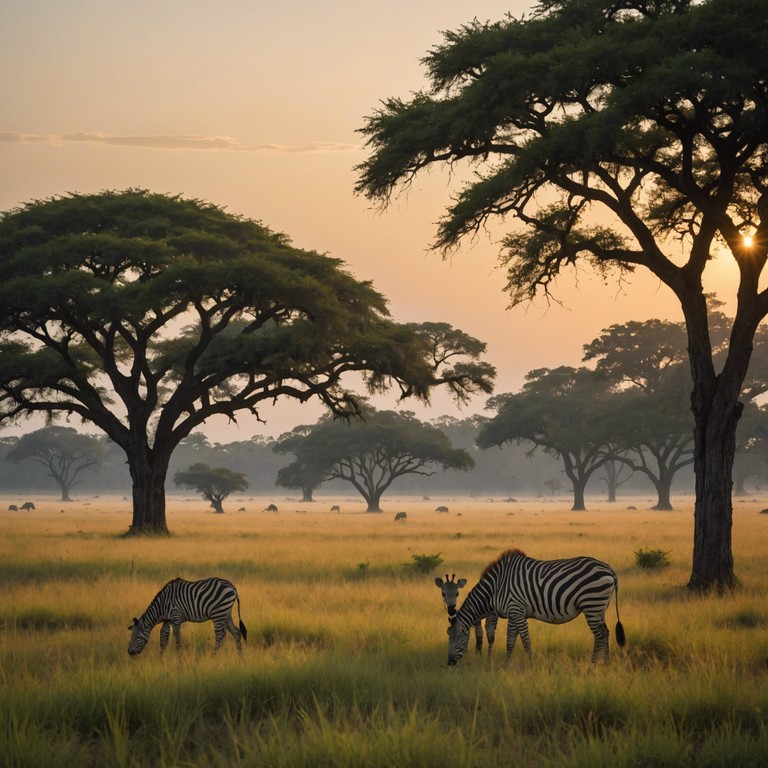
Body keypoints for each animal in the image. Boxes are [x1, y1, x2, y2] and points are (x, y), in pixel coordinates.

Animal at [448, 544, 628, 664]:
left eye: (455, 638)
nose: (449, 663)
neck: (496, 587)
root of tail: (609, 569)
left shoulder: (516, 609)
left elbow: (524, 640)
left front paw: (530, 664)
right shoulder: (516, 613)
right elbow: (511, 640)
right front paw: (506, 664)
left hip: (592, 605)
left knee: (600, 635)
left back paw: (593, 665)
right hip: (599, 608)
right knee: (606, 632)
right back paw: (606, 663)